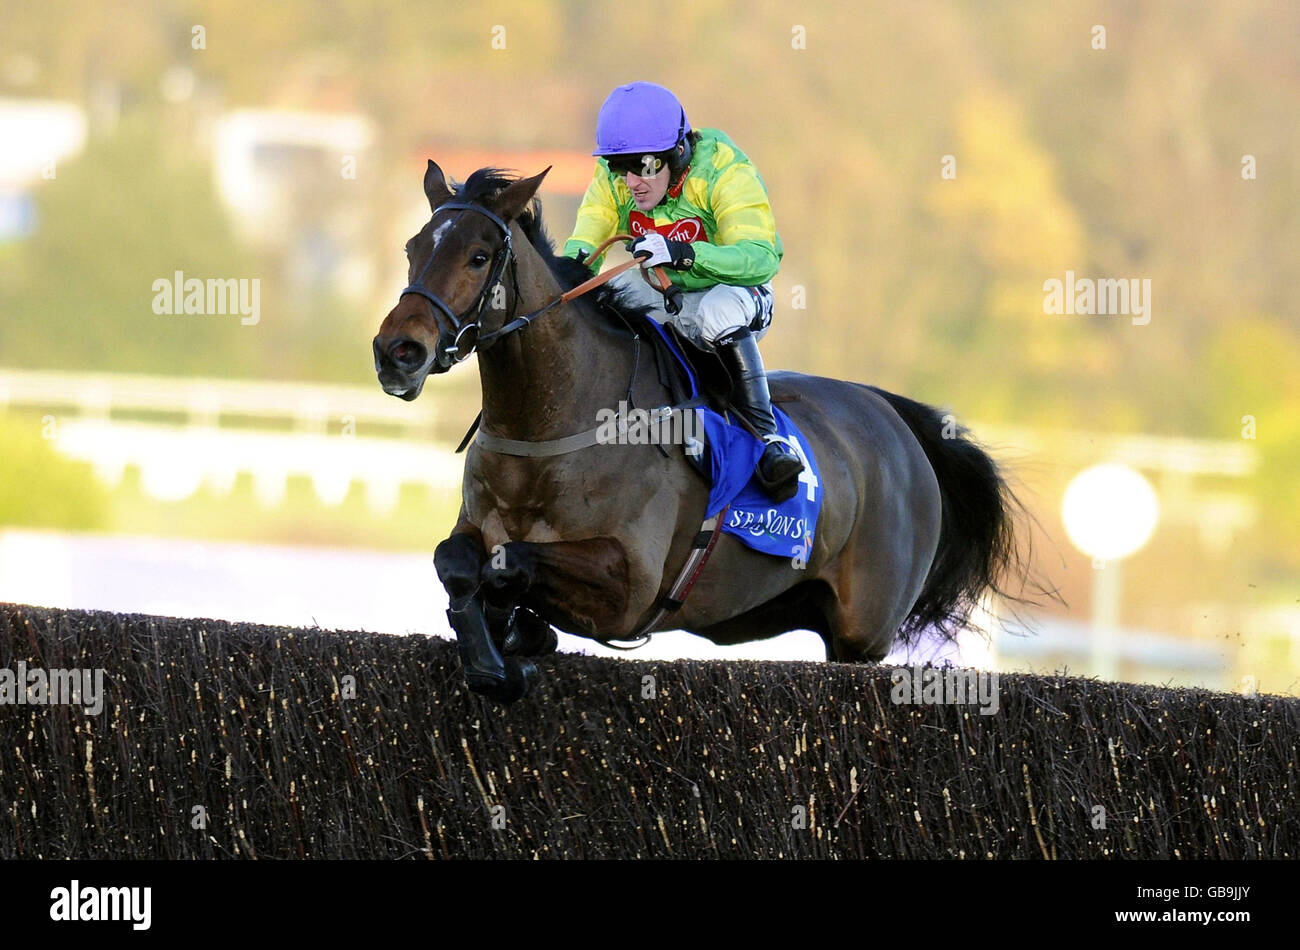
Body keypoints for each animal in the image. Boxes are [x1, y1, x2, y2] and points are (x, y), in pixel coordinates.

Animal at [369, 159, 1024, 701]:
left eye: (479, 256)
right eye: (412, 247)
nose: (398, 352)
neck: (546, 435)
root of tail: (895, 415)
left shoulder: (629, 588)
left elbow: (508, 565)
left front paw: (512, 642)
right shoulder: (478, 526)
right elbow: (456, 560)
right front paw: (501, 647)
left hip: (862, 635)